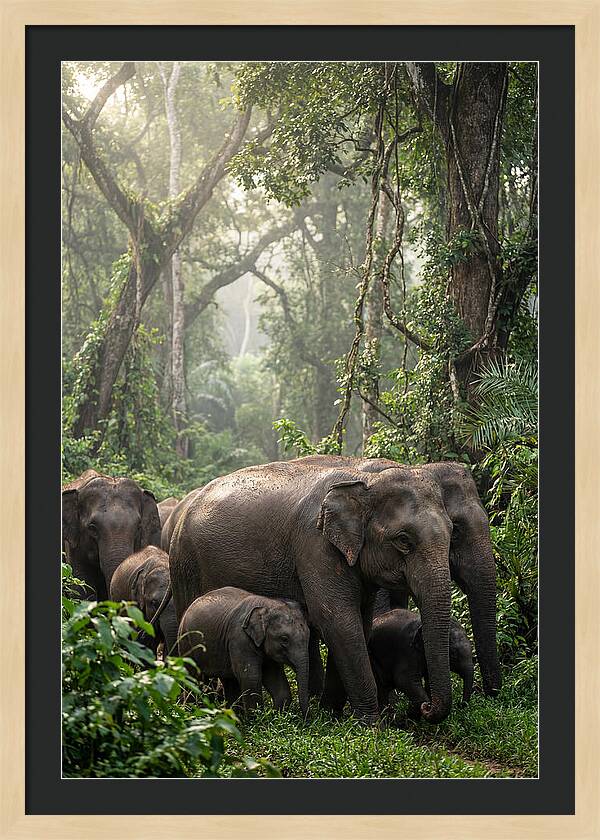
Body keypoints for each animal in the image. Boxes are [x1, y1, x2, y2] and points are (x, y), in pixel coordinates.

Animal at [177, 587, 310, 715]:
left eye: (308, 635)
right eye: (284, 639)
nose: (306, 718)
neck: (266, 604)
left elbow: (276, 679)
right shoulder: (239, 639)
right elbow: (250, 677)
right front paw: (256, 719)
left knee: (229, 682)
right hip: (186, 643)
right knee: (194, 679)